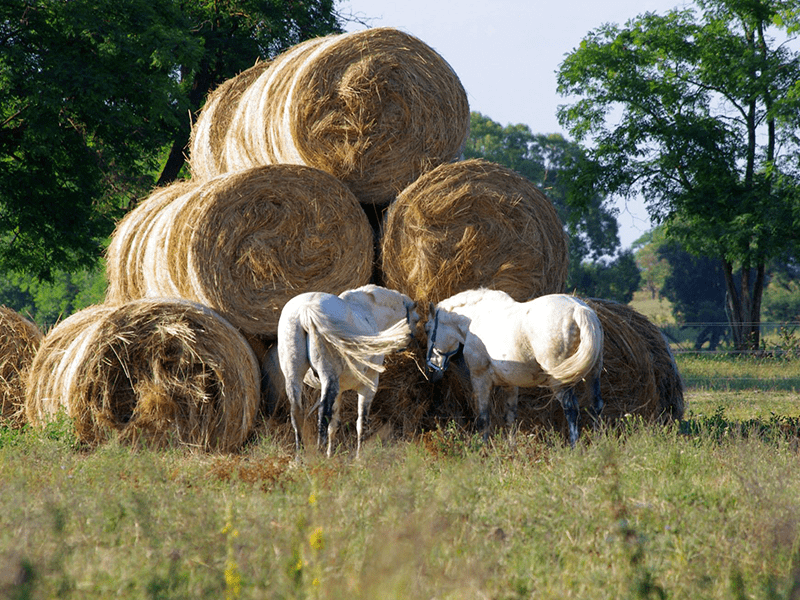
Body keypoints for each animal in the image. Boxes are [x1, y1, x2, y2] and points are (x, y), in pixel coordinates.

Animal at [277, 284, 419, 457]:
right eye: (416, 320)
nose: (407, 345)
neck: (369, 312)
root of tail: (306, 310)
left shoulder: (339, 391)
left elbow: (334, 425)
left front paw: (330, 456)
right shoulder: (369, 386)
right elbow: (361, 423)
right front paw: (358, 458)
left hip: (294, 376)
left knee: (297, 413)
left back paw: (300, 458)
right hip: (328, 377)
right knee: (323, 414)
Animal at [424, 288, 603, 447]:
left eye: (427, 330)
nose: (430, 371)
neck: (475, 319)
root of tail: (579, 309)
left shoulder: (480, 378)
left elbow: (483, 418)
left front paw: (483, 447)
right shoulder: (510, 383)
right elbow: (510, 418)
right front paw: (511, 448)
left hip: (561, 382)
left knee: (571, 409)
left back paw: (574, 447)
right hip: (593, 375)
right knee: (595, 406)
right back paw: (597, 444)